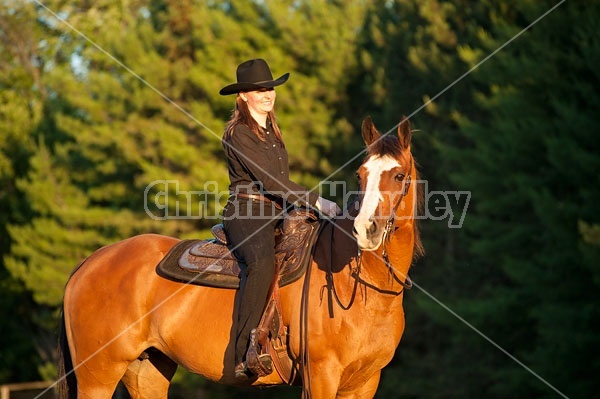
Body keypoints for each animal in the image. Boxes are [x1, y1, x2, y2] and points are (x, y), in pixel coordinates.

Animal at [56, 116, 422, 399]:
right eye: (361, 175)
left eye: (399, 175)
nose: (366, 228)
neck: (363, 288)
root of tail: (90, 262)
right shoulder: (321, 374)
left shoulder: (365, 382)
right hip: (98, 376)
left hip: (147, 371)